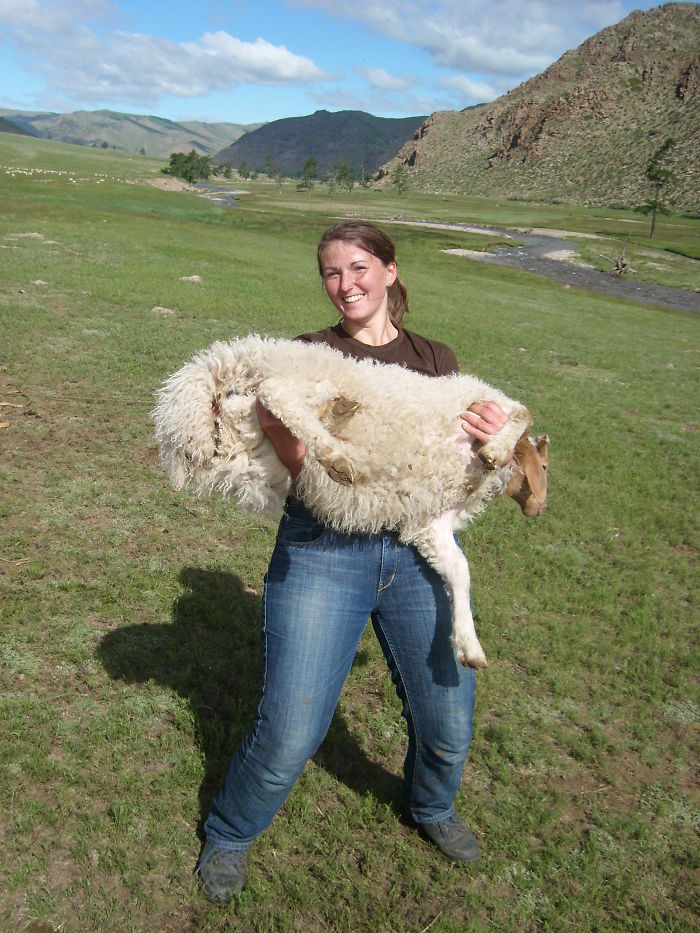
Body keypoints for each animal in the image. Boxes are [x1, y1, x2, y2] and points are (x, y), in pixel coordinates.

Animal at [152, 335, 549, 668]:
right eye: (544, 466)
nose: (540, 510)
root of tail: (250, 353)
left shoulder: (429, 522)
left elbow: (459, 571)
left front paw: (469, 646)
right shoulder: (476, 398)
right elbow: (523, 413)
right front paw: (496, 450)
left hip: (246, 443)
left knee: (249, 407)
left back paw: (334, 414)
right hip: (301, 375)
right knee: (274, 393)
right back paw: (335, 449)